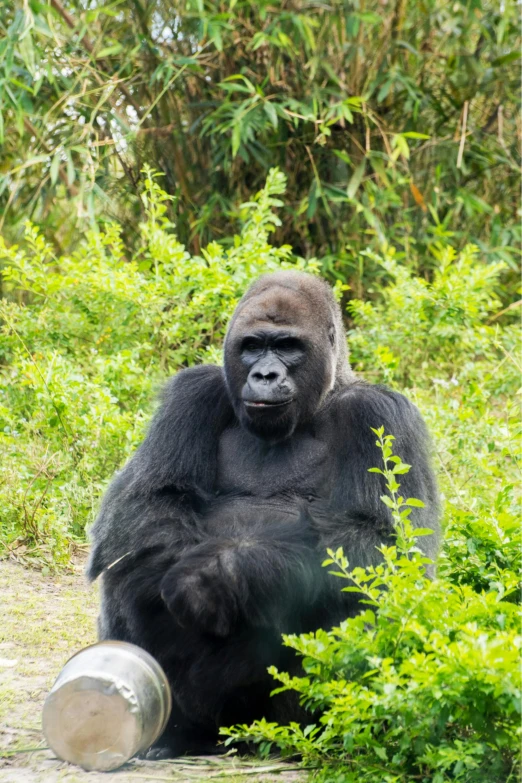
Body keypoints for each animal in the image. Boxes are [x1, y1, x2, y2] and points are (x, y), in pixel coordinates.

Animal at [87, 272, 436, 760]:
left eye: (288, 346)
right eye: (252, 346)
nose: (265, 374)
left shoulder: (379, 414)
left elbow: (381, 547)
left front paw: (221, 571)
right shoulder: (194, 392)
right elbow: (144, 506)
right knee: (133, 560)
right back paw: (177, 734)